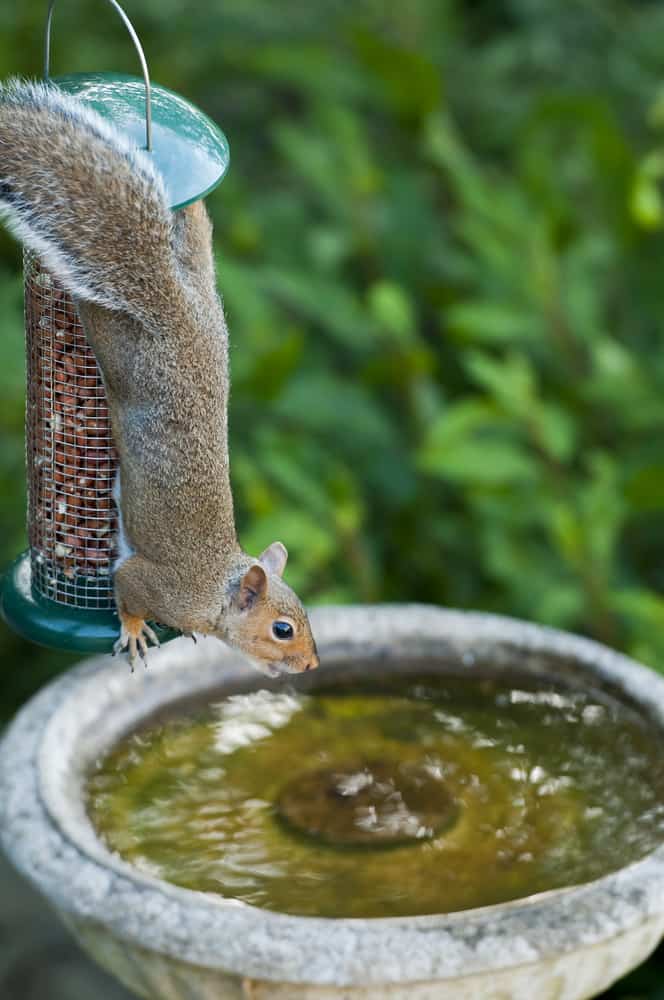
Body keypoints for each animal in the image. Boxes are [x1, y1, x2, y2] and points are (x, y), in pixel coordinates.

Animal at [0, 76, 320, 672]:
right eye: (283, 629)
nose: (312, 665)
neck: (216, 588)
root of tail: (170, 307)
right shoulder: (151, 582)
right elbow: (129, 589)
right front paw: (133, 631)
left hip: (207, 304)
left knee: (196, 247)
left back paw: (192, 219)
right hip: (121, 349)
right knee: (100, 312)